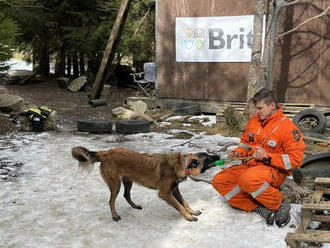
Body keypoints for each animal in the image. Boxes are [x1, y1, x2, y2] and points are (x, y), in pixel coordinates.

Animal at [72, 146, 220, 222]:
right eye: (207, 157)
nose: (218, 156)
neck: (182, 163)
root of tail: (105, 153)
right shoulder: (165, 193)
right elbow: (179, 205)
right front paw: (188, 216)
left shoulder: (175, 189)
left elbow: (184, 202)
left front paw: (192, 211)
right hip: (115, 184)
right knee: (111, 201)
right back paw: (115, 216)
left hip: (128, 181)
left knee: (126, 195)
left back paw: (134, 206)